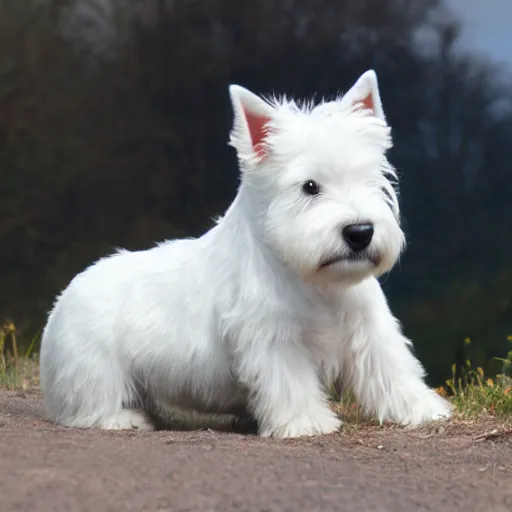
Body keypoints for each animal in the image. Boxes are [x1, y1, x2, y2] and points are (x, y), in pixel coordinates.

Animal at [40, 70, 452, 438]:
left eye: (373, 179)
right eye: (310, 187)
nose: (360, 232)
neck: (313, 281)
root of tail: (60, 302)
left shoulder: (368, 327)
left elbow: (392, 369)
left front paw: (422, 408)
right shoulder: (273, 339)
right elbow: (291, 382)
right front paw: (307, 423)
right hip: (94, 366)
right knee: (91, 405)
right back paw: (126, 419)